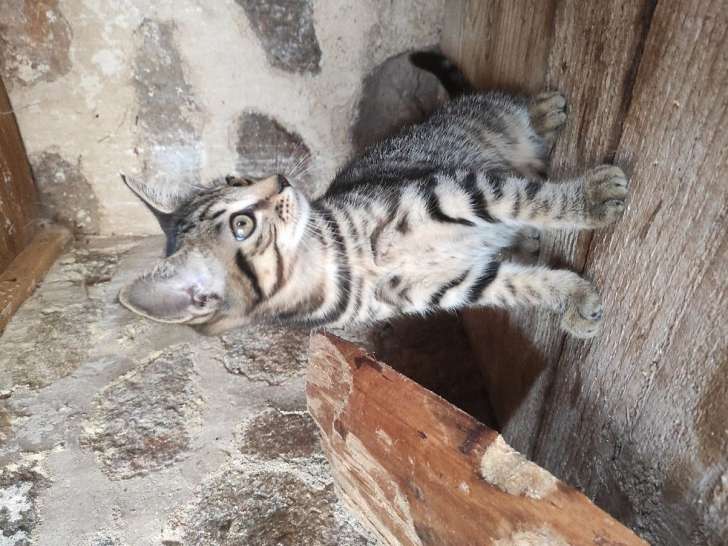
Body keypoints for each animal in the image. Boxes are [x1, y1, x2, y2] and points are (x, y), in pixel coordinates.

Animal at [119, 53, 624, 338]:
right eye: (241, 225)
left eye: (235, 179)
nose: (280, 180)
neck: (342, 260)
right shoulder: (448, 286)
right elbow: (522, 284)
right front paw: (572, 295)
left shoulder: (454, 190)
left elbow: (529, 199)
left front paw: (590, 199)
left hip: (483, 126)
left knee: (502, 111)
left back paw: (542, 112)